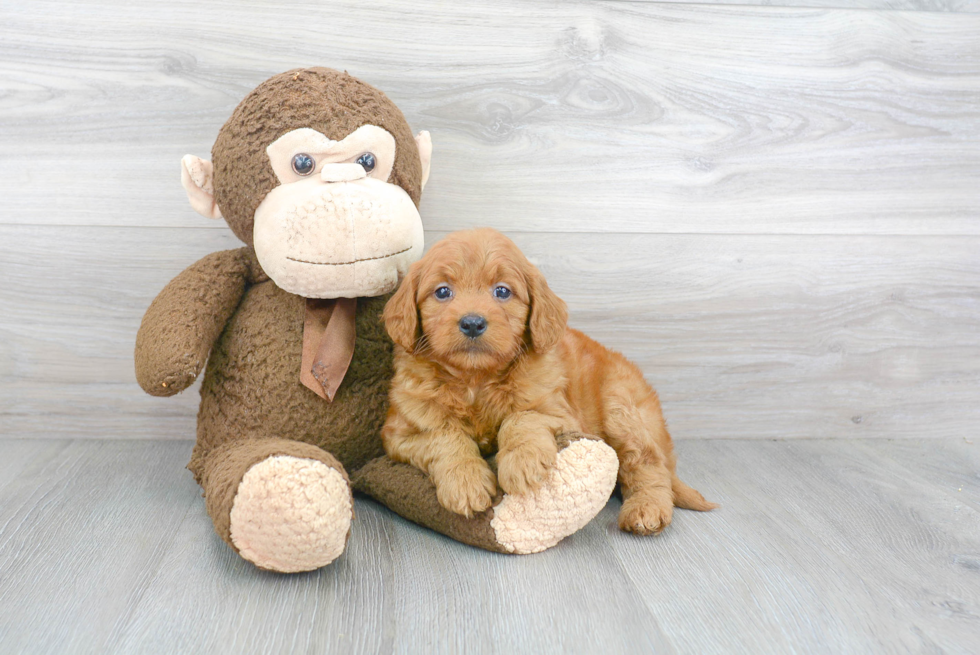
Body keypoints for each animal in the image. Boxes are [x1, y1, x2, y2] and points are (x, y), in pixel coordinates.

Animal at [380, 228, 712, 536]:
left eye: (502, 291)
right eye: (442, 292)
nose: (472, 323)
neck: (476, 378)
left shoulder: (561, 414)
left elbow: (522, 418)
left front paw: (522, 462)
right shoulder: (399, 434)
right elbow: (445, 436)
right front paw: (465, 481)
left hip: (622, 409)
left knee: (648, 464)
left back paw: (646, 509)